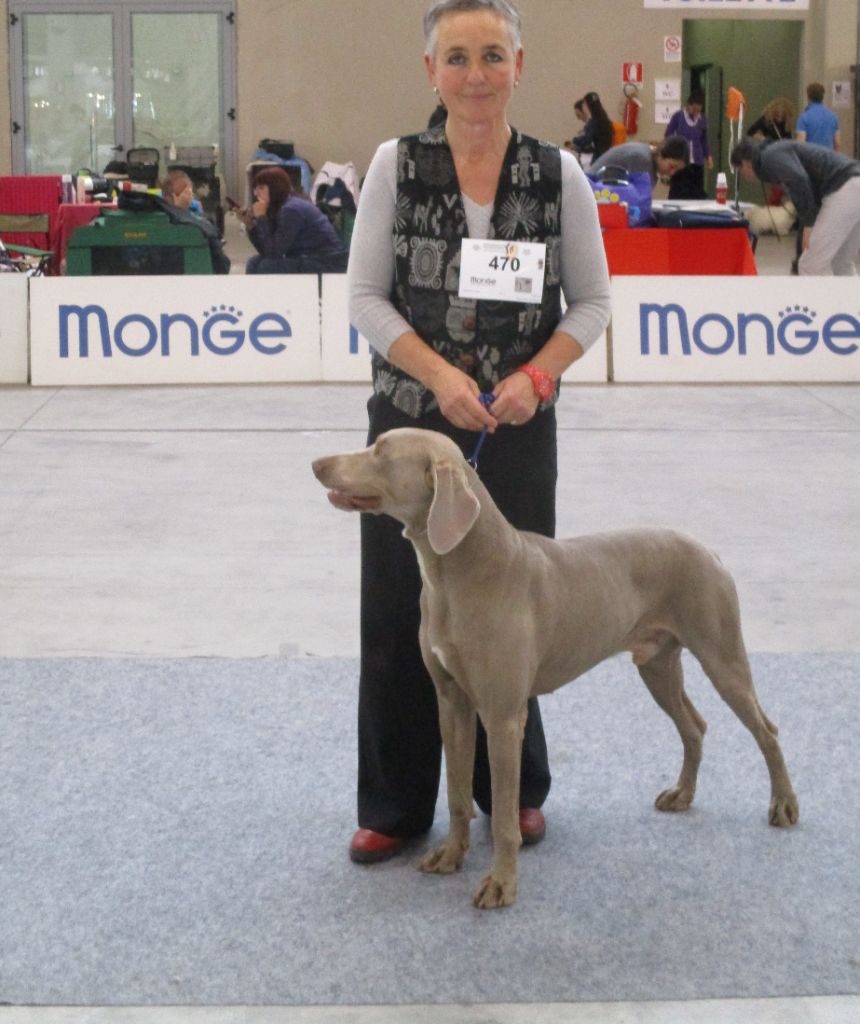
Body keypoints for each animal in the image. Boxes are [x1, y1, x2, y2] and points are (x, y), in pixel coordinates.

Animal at [313, 428, 794, 909]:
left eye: (381, 451)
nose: (317, 464)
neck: (460, 573)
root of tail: (708, 549)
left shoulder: (503, 717)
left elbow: (504, 815)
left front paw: (501, 883)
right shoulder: (452, 703)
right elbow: (456, 794)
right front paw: (450, 855)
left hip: (721, 655)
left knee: (766, 730)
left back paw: (784, 805)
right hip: (657, 663)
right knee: (694, 725)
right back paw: (683, 794)